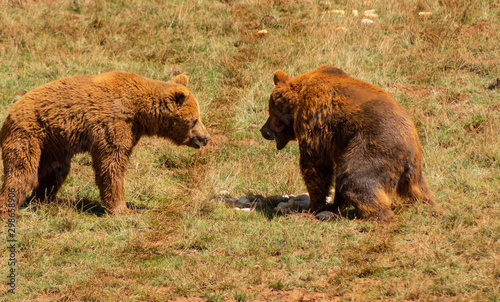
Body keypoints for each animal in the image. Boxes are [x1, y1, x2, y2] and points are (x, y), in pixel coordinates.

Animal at [0, 71, 211, 217]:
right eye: (194, 120)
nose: (206, 138)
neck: (140, 112)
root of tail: (10, 112)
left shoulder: (132, 130)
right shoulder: (114, 124)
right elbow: (111, 164)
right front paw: (123, 209)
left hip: (54, 142)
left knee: (54, 172)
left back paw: (41, 201)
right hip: (30, 133)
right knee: (22, 172)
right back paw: (13, 211)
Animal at [260, 65, 436, 222]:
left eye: (270, 112)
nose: (263, 131)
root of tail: (411, 152)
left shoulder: (315, 120)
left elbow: (315, 164)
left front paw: (312, 207)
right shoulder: (340, 142)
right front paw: (333, 205)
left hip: (376, 148)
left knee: (354, 179)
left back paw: (369, 216)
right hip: (414, 173)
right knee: (422, 191)